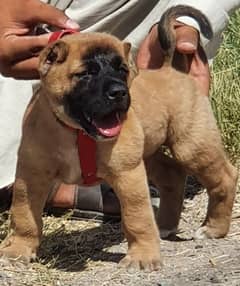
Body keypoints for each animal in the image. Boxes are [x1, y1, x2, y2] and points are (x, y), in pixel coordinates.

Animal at [0, 5, 236, 272]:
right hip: (148, 152)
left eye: (122, 70)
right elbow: (24, 214)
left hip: (191, 145)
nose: (119, 93)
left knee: (224, 177)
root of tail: (170, 70)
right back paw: (165, 226)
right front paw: (18, 249)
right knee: (172, 175)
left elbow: (136, 217)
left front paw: (143, 257)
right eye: (85, 74)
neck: (76, 132)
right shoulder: (31, 176)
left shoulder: (128, 175)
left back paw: (213, 228)